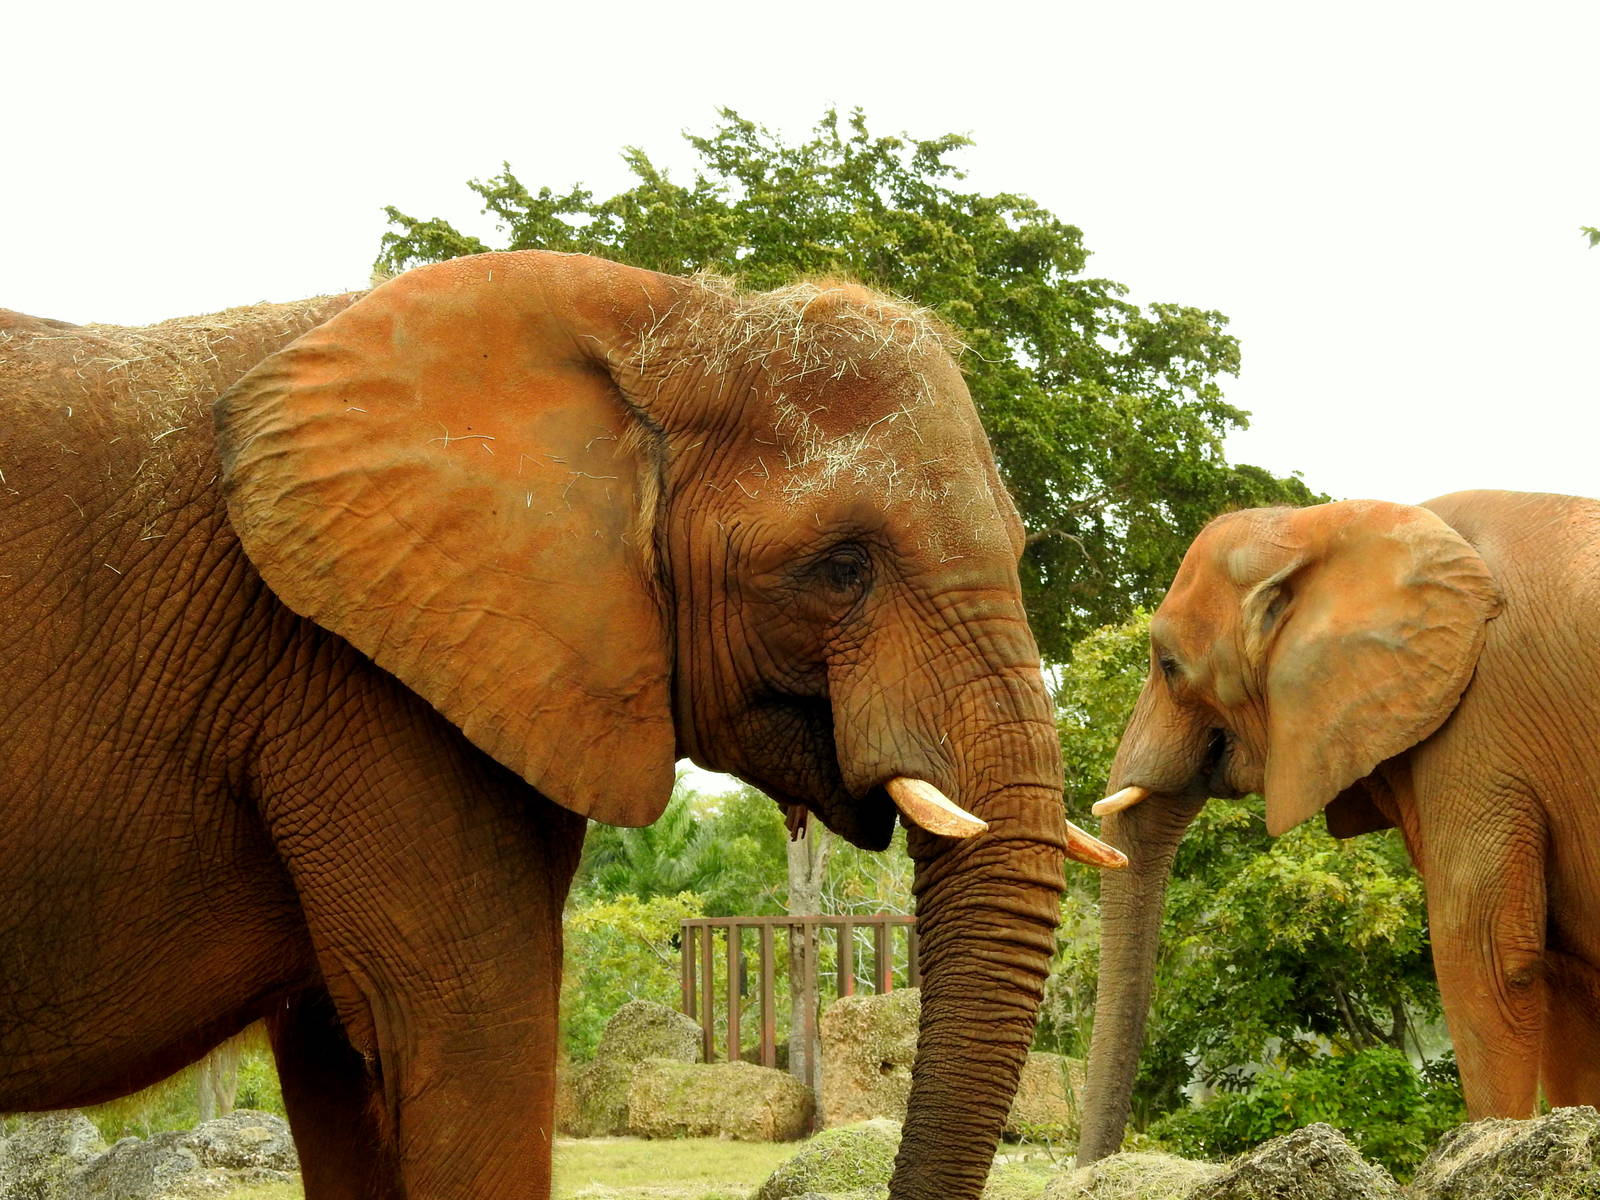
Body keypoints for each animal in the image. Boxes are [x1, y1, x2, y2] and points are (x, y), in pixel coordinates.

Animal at [1075, 489, 1600, 1163]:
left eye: (1168, 666)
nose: (1091, 1172)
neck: (1324, 525)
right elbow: (1561, 979)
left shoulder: (1483, 727)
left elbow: (1487, 956)